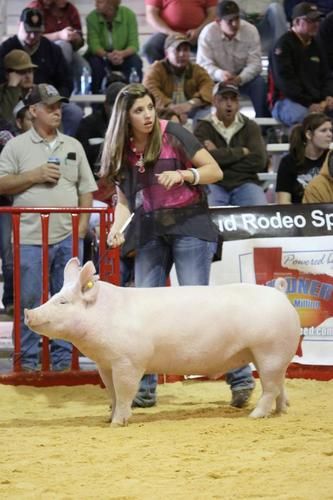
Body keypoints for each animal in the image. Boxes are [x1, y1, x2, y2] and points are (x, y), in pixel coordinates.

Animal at [25, 258, 300, 426]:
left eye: (63, 302)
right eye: (54, 296)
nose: (28, 312)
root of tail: (281, 294)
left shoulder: (129, 361)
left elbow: (124, 392)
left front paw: (117, 423)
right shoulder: (105, 365)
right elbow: (111, 393)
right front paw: (107, 419)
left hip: (270, 350)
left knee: (270, 387)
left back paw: (254, 416)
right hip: (272, 355)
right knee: (279, 384)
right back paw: (281, 411)